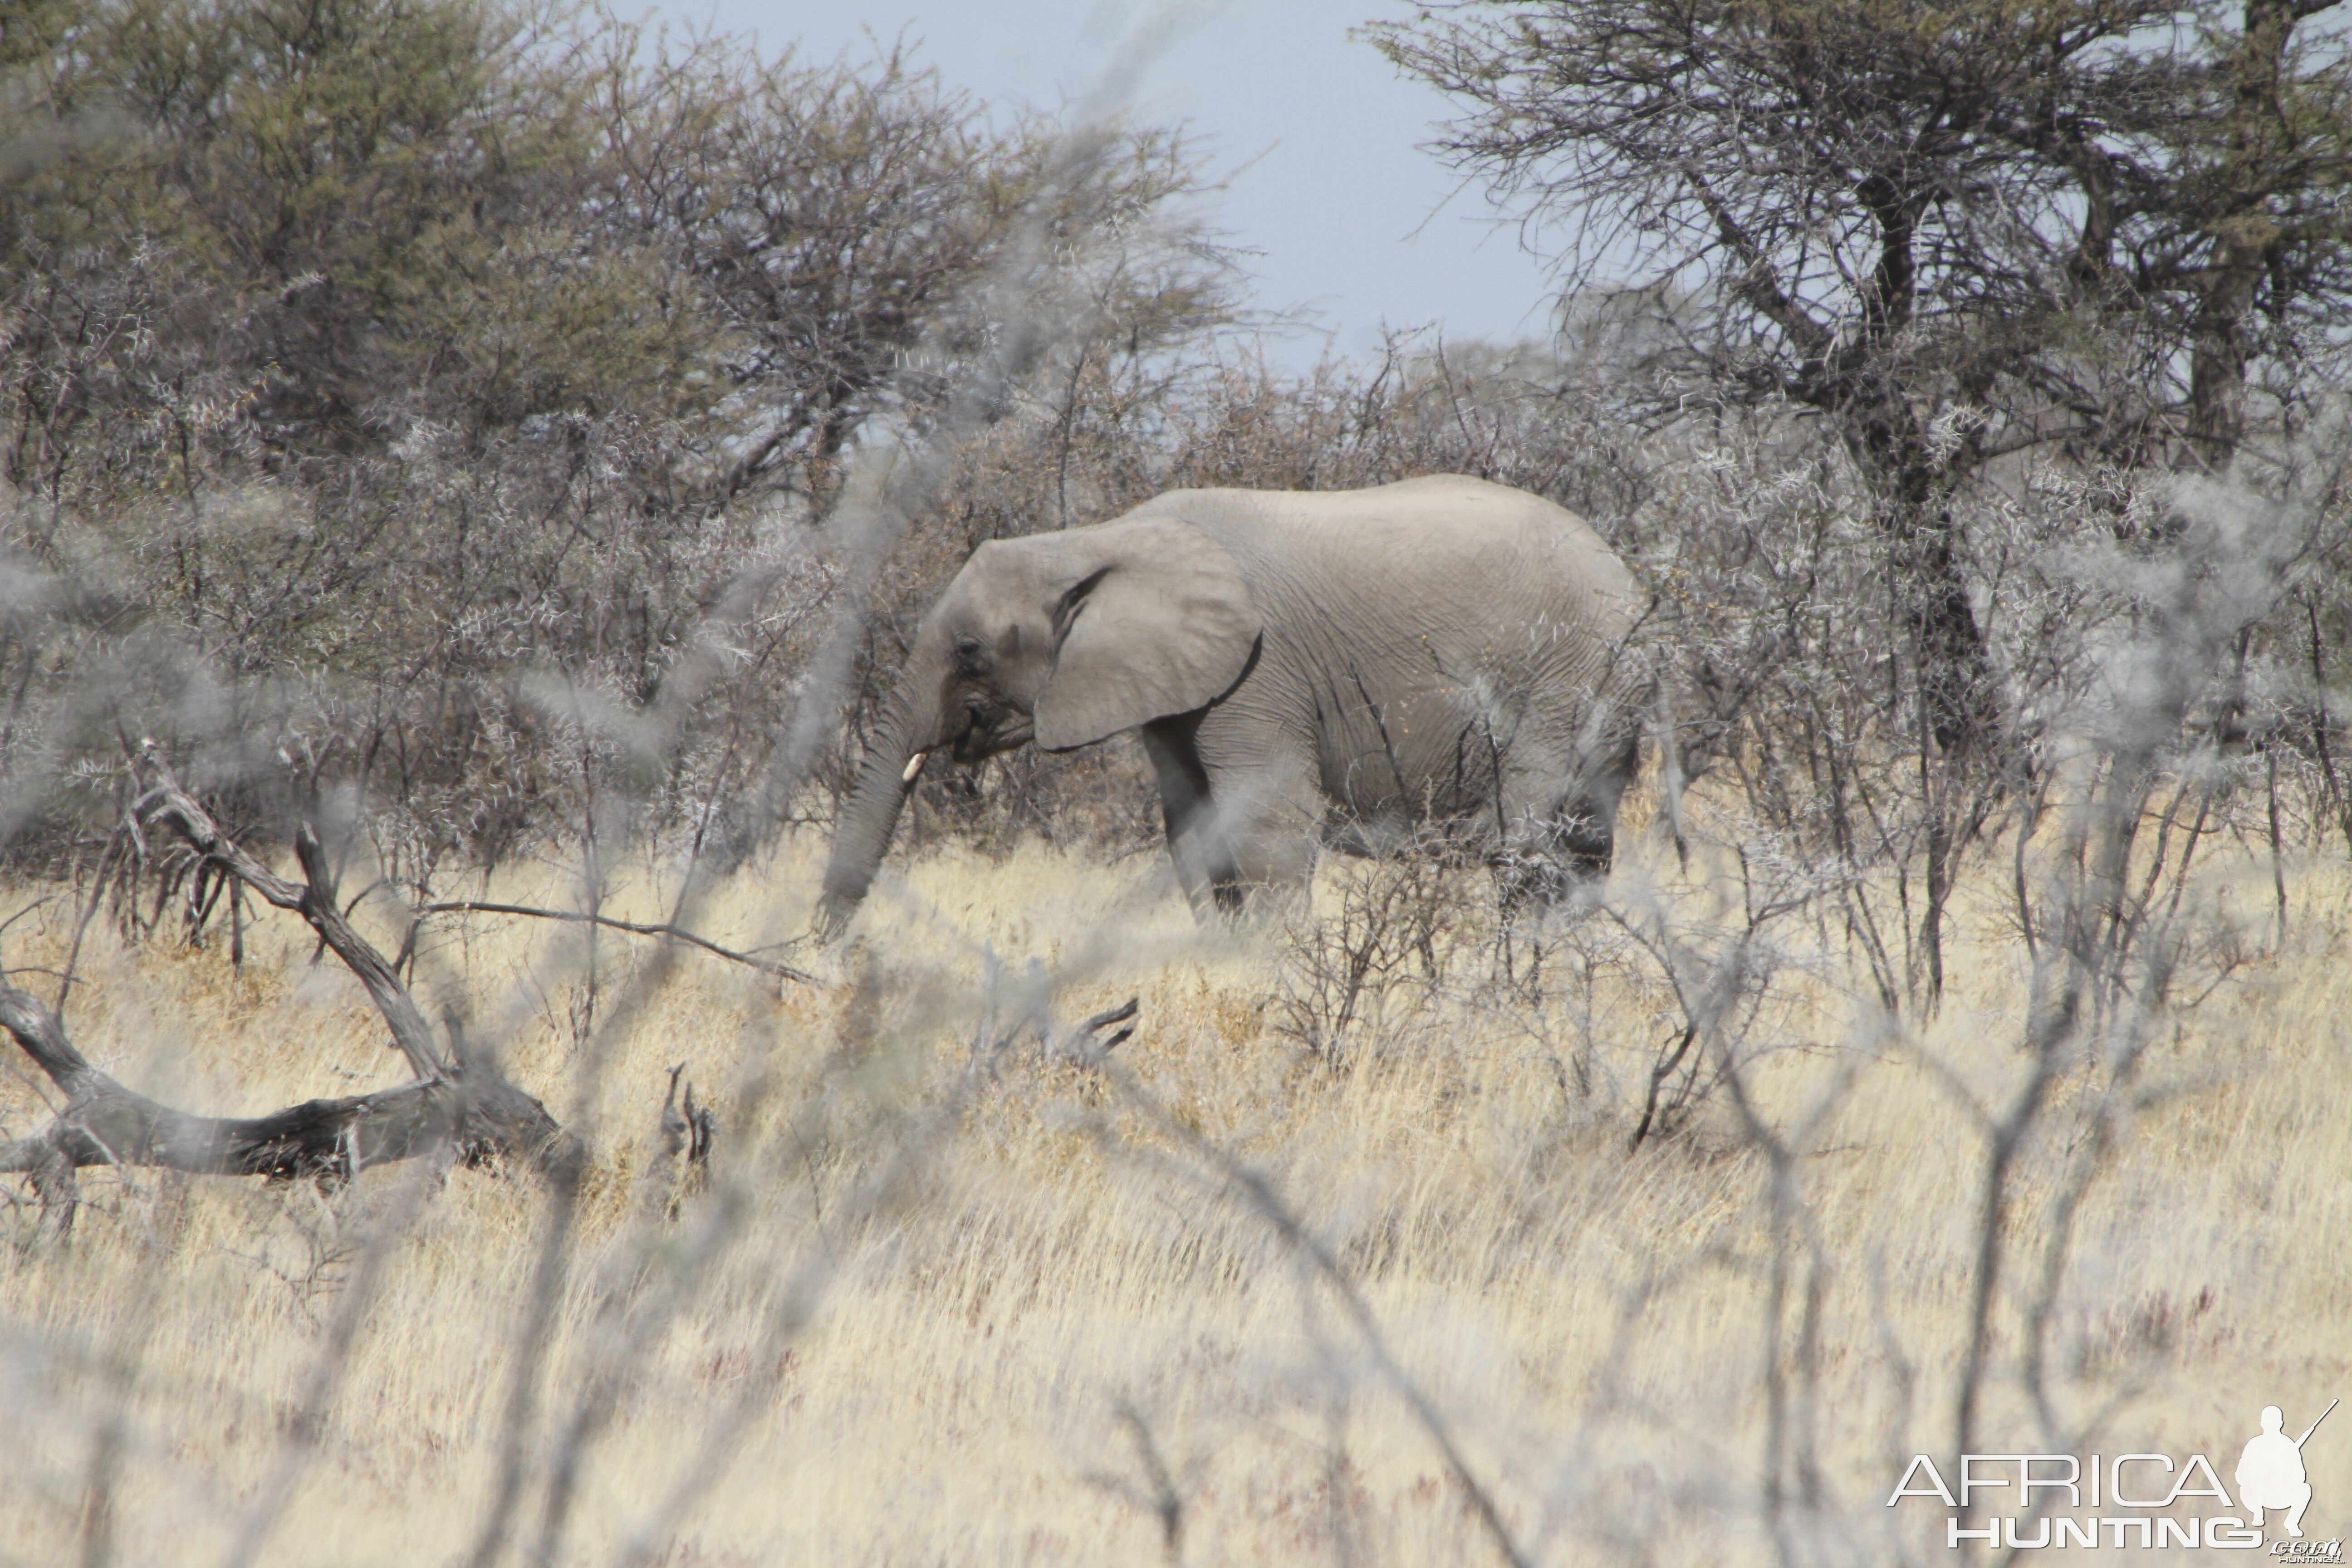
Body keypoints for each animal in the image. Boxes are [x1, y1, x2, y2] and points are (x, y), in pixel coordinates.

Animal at [818, 472, 1646, 940]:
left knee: (1532, 842)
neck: (1096, 540)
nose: (833, 955)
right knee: (1586, 847)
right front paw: (1233, 961)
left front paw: (1281, 968)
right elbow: (1191, 828)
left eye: (968, 651)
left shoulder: (1259, 670)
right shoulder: (1174, 686)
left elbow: (1264, 823)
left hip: (1568, 680)